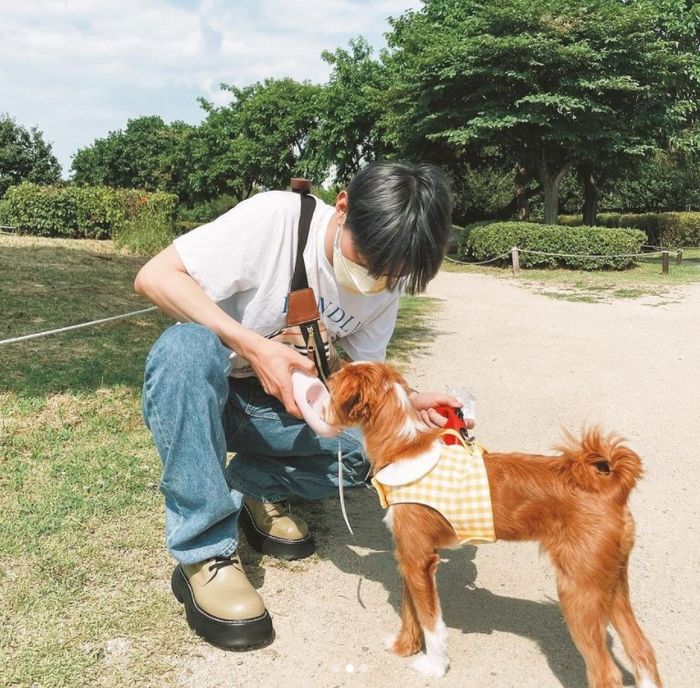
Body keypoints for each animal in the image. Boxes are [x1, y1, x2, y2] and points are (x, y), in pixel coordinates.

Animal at [328, 360, 660, 688]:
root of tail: (611, 488)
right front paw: (404, 647)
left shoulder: (419, 559)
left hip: (579, 589)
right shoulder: (411, 558)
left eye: (331, 385)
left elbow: (432, 623)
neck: (404, 448)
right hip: (610, 582)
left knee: (607, 673)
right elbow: (412, 611)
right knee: (641, 650)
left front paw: (435, 667)